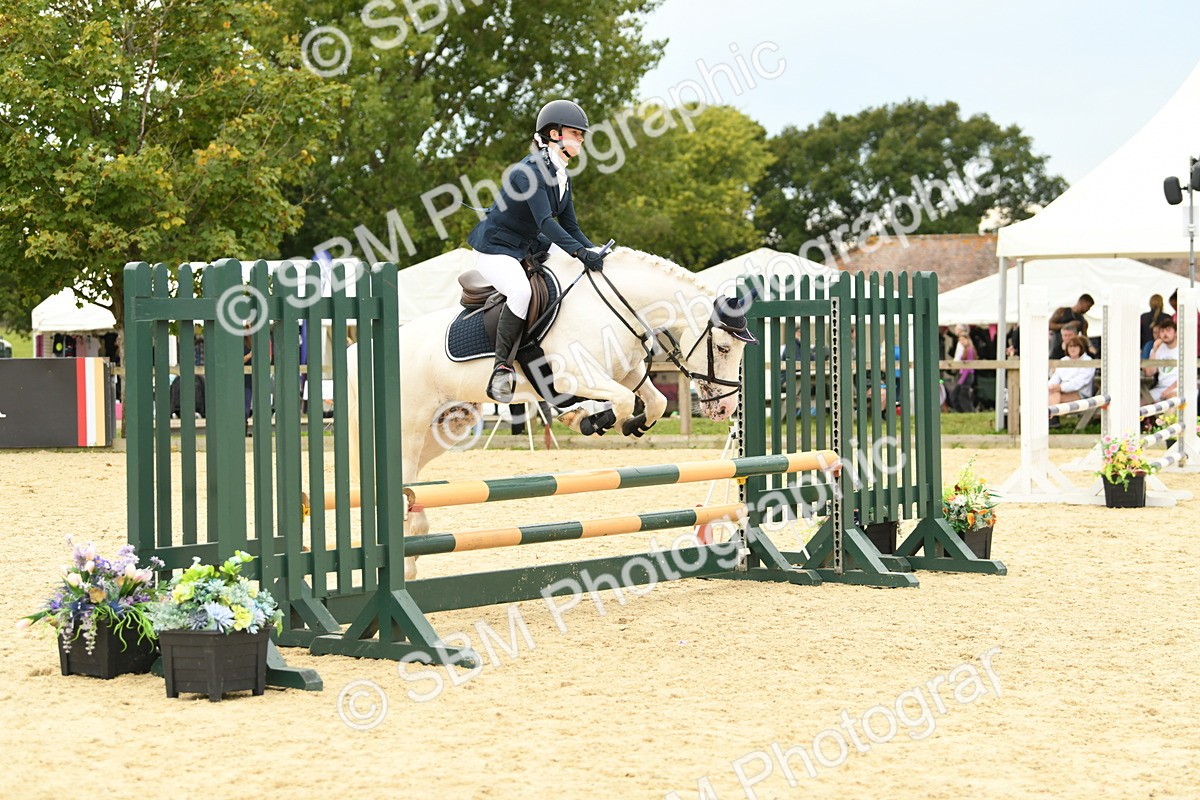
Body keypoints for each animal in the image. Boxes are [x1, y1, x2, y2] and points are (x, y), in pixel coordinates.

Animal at [347, 246, 755, 578]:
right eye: (721, 347)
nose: (725, 408)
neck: (611, 305)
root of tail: (358, 351)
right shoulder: (574, 375)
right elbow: (621, 400)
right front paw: (588, 419)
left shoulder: (625, 371)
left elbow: (652, 402)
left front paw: (630, 424)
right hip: (408, 427)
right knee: (401, 483)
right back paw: (404, 566)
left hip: (442, 428)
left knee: (412, 487)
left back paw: (414, 554)